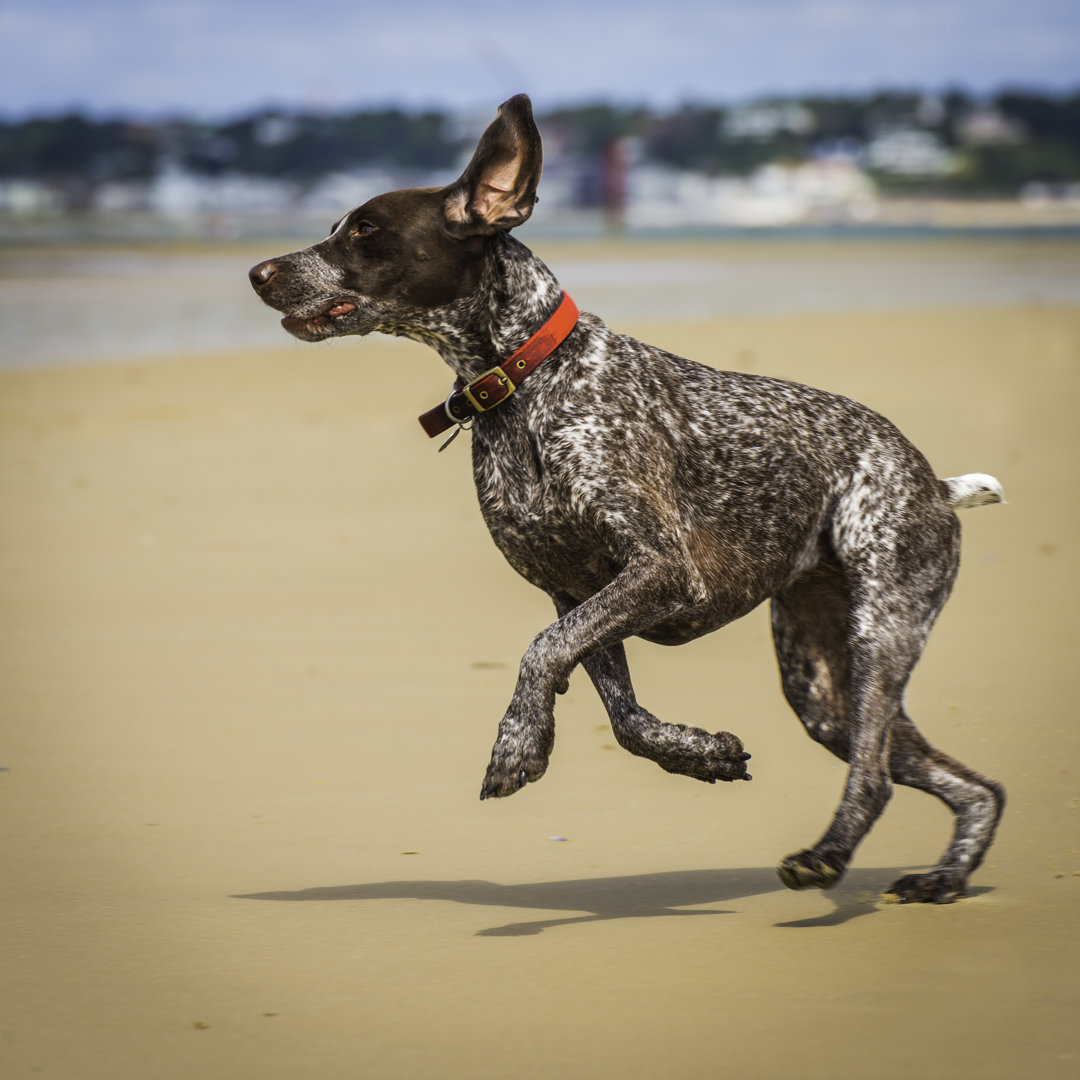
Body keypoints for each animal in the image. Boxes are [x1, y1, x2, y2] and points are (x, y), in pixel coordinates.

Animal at [248, 92, 1006, 902]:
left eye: (366, 229)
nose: (258, 272)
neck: (526, 385)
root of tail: (929, 479)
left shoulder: (660, 572)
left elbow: (542, 651)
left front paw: (517, 743)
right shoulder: (578, 592)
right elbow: (622, 716)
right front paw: (699, 753)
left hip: (877, 636)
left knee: (875, 777)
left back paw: (828, 854)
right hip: (822, 691)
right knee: (973, 785)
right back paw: (945, 875)